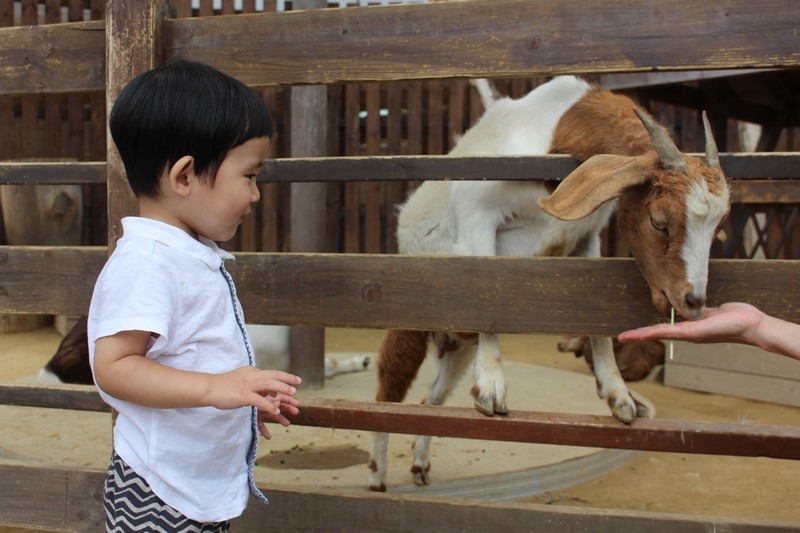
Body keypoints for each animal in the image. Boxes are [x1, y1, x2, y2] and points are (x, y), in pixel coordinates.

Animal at [368, 75, 732, 490]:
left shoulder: (586, 237)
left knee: (432, 401)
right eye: (659, 221)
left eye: (718, 226)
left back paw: (420, 465)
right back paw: (377, 477)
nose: (693, 300)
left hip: (458, 345)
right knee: (388, 389)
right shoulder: (477, 211)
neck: (554, 130)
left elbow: (596, 325)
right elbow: (486, 286)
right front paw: (492, 387)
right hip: (409, 320)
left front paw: (619, 395)